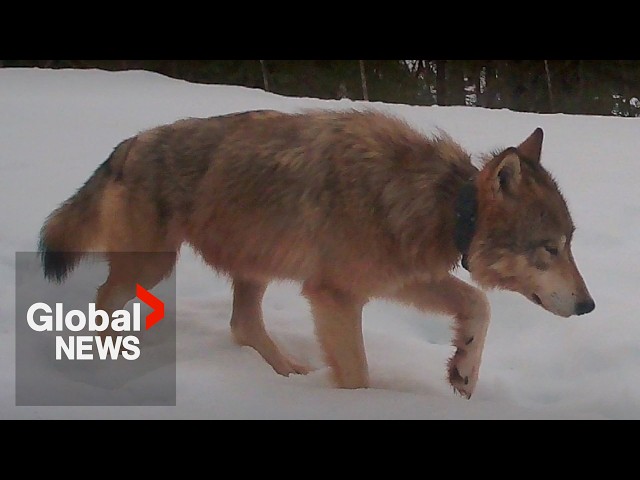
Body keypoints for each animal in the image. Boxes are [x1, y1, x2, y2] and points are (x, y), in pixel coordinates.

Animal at [39, 109, 595, 398]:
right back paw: (108, 367)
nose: (589, 306)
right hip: (153, 264)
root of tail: (131, 141)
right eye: (550, 248)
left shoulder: (398, 280)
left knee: (243, 326)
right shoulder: (335, 296)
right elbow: (358, 376)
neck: (434, 201)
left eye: (570, 242)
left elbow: (480, 304)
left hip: (254, 263)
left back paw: (288, 375)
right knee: (104, 301)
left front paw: (464, 368)